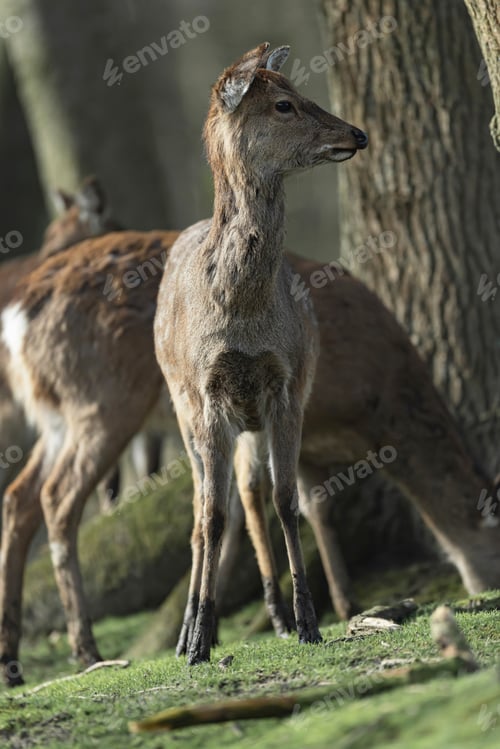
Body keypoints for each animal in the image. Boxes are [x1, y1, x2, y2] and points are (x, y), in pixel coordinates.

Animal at [153, 43, 369, 664]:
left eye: (298, 93)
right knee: (202, 510)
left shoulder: (287, 383)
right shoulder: (206, 394)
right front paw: (200, 640)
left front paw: (308, 621)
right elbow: (212, 515)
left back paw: (274, 613)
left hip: (250, 419)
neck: (243, 317)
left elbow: (286, 498)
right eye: (284, 104)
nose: (358, 133)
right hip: (181, 408)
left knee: (249, 493)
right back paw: (187, 632)